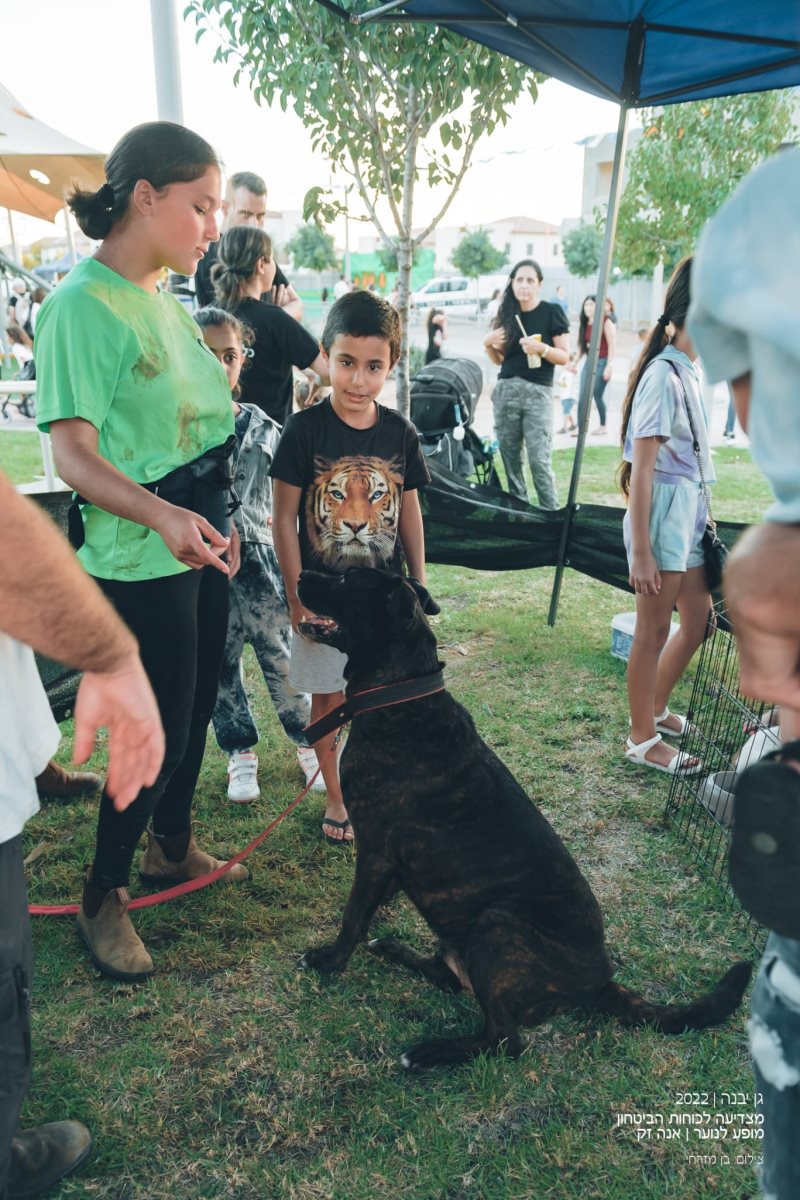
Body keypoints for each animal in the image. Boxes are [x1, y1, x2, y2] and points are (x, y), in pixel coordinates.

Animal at [297, 566, 753, 1075]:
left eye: (346, 578)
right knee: (451, 979)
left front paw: (330, 960)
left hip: (496, 926)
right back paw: (395, 952)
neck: (400, 695)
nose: (301, 573)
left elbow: (354, 915)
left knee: (504, 1039)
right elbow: (371, 910)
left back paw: (429, 1052)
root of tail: (600, 981)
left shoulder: (374, 850)